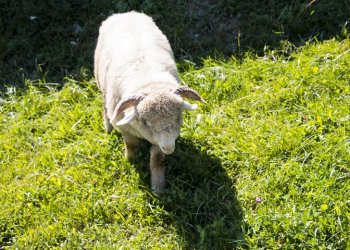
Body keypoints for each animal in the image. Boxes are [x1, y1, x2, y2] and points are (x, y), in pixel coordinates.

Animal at [94, 11, 206, 193]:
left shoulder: (158, 142)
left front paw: (158, 188)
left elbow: (157, 160)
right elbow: (131, 145)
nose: (169, 147)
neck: (151, 84)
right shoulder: (126, 129)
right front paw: (131, 160)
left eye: (178, 118)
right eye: (145, 121)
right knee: (104, 105)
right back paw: (108, 126)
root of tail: (126, 13)